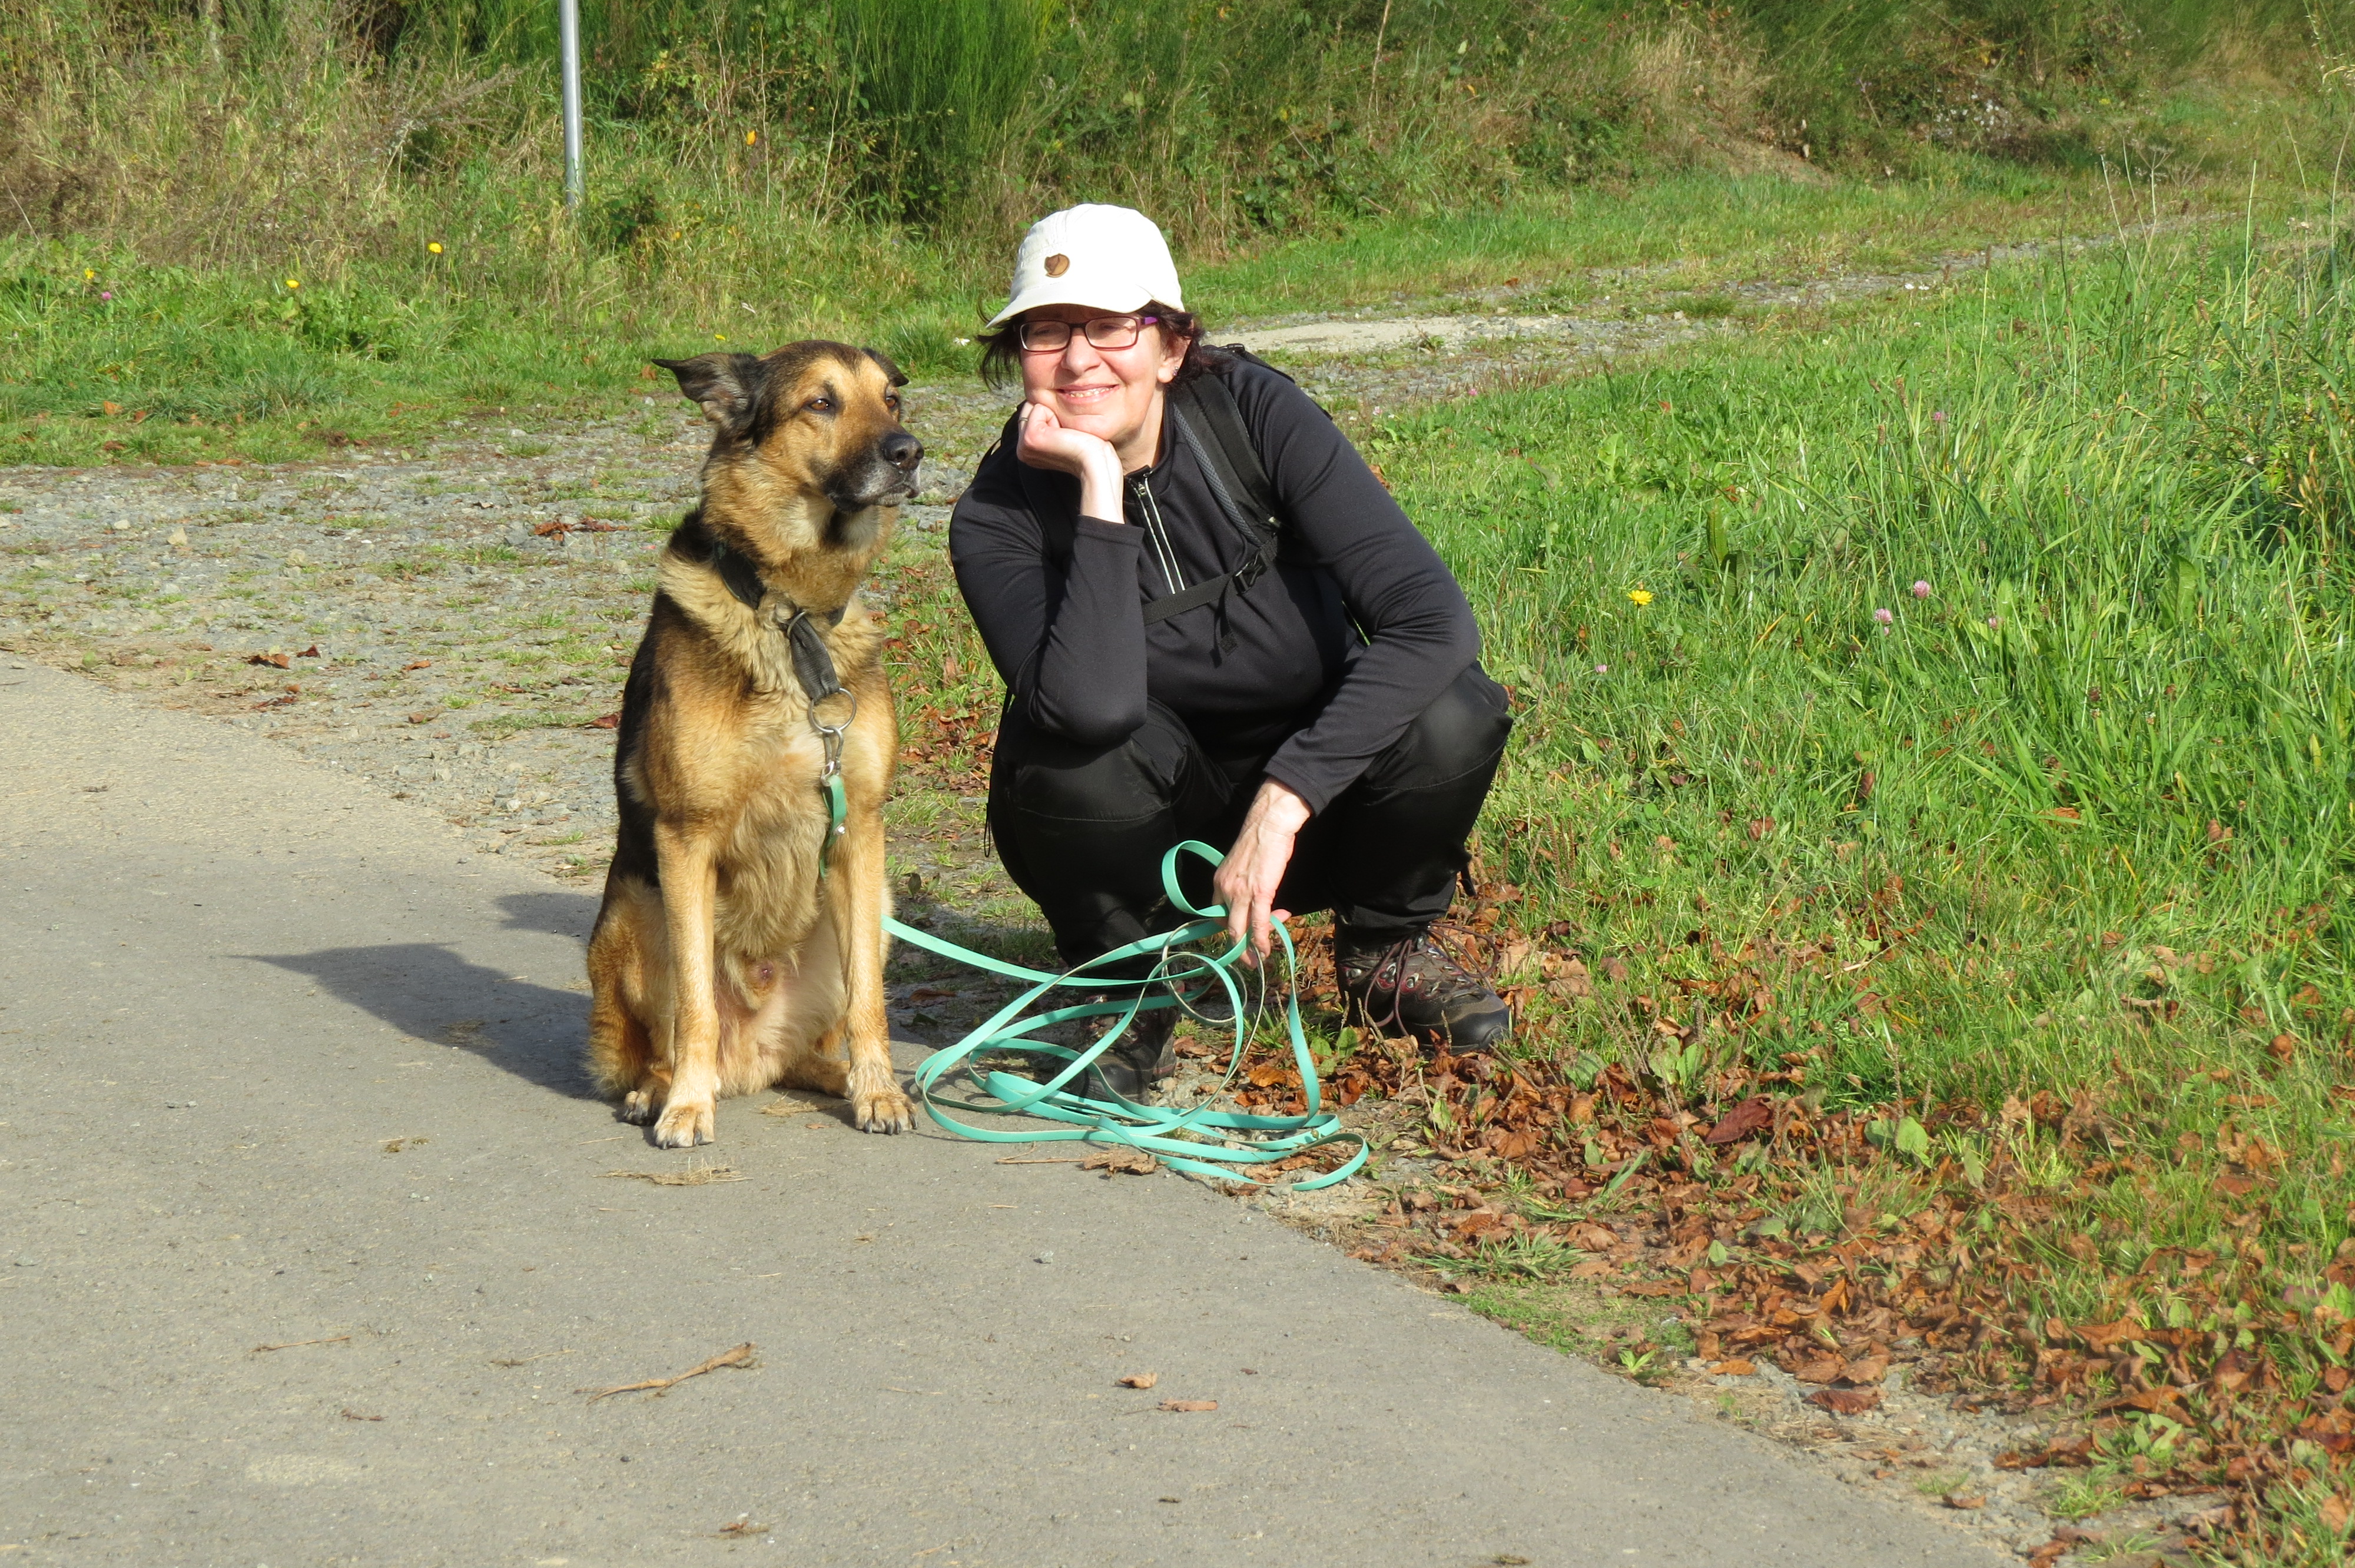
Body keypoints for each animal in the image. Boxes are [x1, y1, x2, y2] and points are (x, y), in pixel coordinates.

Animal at [586, 341, 921, 1147]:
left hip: (872, 907)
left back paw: (849, 1079)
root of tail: (751, 1064)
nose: (910, 453)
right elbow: (694, 1008)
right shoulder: (686, 838)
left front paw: (878, 1092)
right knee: (671, 1037)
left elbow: (870, 1002)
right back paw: (663, 1089)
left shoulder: (861, 831)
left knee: (819, 1039)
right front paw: (685, 1108)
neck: (791, 616)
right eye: (821, 403)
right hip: (635, 912)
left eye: (891, 399)